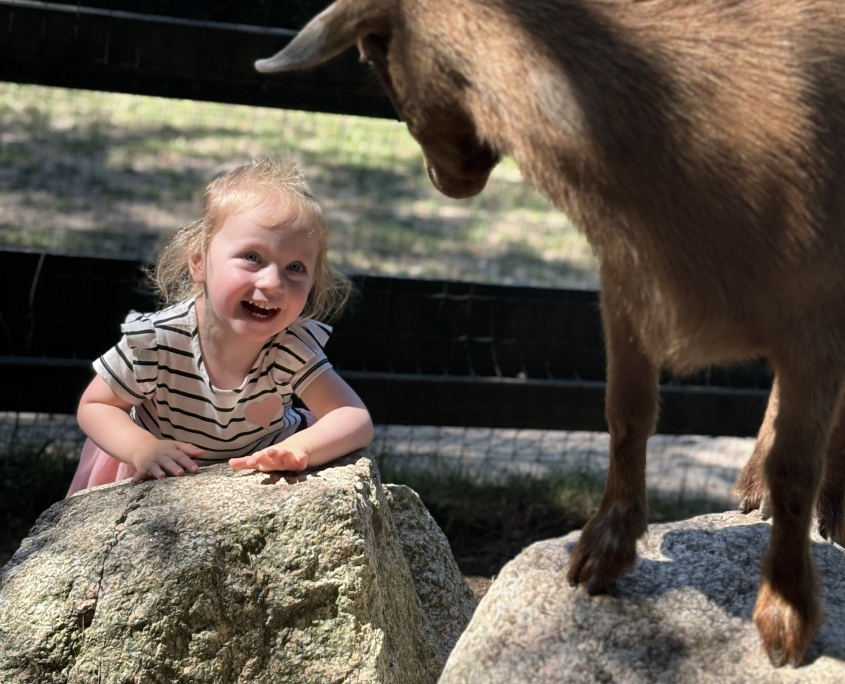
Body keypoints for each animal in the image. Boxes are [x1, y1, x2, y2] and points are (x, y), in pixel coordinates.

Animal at [255, 0, 845, 666]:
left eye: (374, 55)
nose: (440, 179)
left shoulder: (816, 306)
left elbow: (796, 469)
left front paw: (786, 615)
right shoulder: (625, 278)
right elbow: (626, 413)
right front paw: (601, 554)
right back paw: (753, 489)